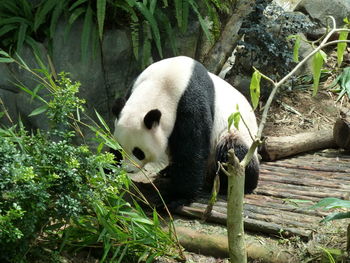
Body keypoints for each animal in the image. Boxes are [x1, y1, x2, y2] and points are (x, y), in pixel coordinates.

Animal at [113, 56, 260, 209]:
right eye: (120, 149)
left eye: (138, 152)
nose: (128, 169)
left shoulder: (191, 103)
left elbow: (192, 150)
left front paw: (175, 198)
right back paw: (168, 171)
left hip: (235, 132)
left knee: (232, 151)